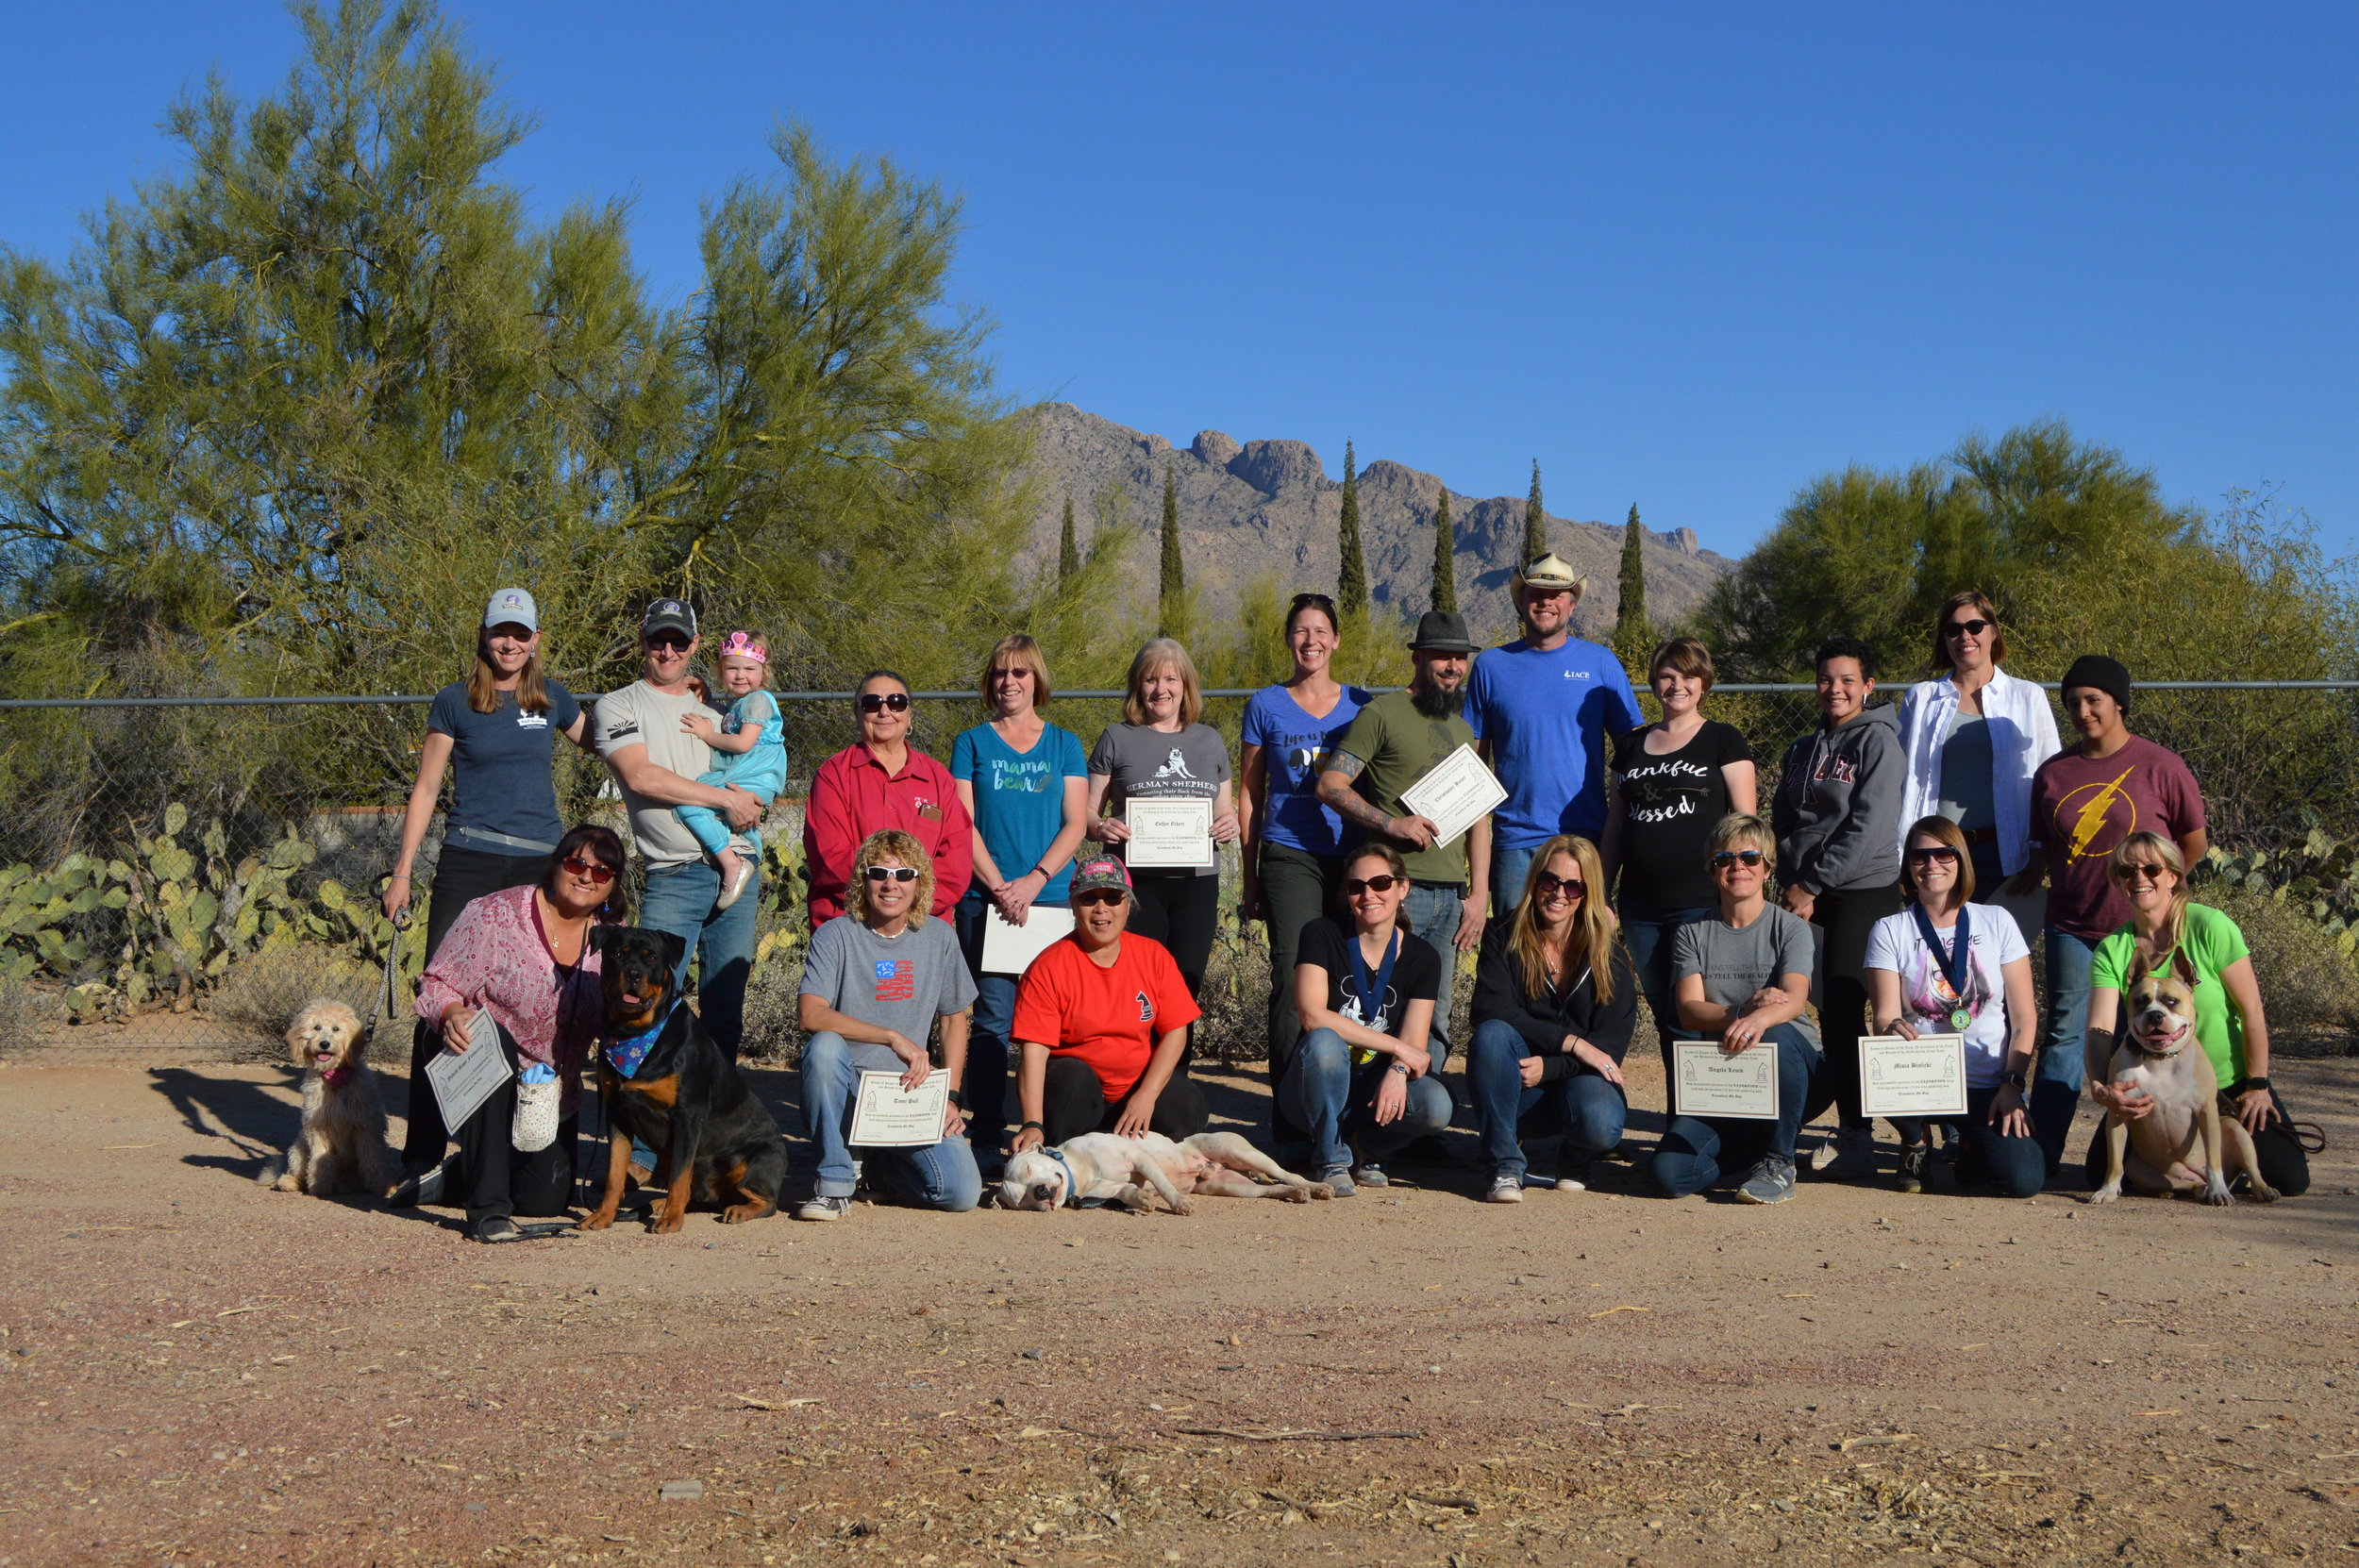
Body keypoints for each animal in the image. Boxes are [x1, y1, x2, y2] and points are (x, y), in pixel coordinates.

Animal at [256, 1004, 398, 1197]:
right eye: (316, 1027)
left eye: (336, 1029)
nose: (324, 1044)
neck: (334, 1077)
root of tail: (344, 1183)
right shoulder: (319, 1126)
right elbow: (320, 1158)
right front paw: (320, 1186)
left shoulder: (365, 1127)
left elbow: (373, 1159)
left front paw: (383, 1186)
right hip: (300, 1145)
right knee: (296, 1167)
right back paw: (289, 1182)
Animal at [582, 924, 788, 1226]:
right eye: (618, 954)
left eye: (652, 958)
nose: (633, 973)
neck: (634, 1034)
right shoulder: (617, 1113)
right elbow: (615, 1175)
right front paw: (603, 1215)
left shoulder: (687, 1116)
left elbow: (680, 1177)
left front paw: (671, 1221)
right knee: (695, 1192)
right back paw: (659, 1204)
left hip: (753, 1158)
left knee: (766, 1200)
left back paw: (738, 1209)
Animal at [991, 1131, 1330, 1216]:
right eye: (1022, 1201)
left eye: (1030, 1168)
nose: (1040, 1192)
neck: (1080, 1172)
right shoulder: (1108, 1189)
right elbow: (1127, 1191)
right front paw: (1141, 1200)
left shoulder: (1139, 1158)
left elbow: (1163, 1184)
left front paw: (1178, 1203)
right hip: (1235, 1186)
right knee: (1266, 1189)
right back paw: (1295, 1194)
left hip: (1239, 1152)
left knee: (1284, 1172)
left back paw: (1316, 1187)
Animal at [2095, 947, 2274, 1202]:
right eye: (2141, 1001)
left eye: (2172, 1001)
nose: (2155, 1015)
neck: (2161, 1060)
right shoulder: (2119, 1112)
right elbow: (2114, 1163)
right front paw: (2107, 1191)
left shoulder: (2206, 1111)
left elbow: (2213, 1161)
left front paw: (2219, 1191)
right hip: (2139, 1169)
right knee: (2181, 1183)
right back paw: (2197, 1189)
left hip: (2236, 1130)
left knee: (2250, 1167)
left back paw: (2259, 1189)